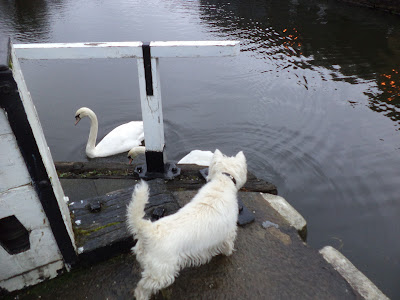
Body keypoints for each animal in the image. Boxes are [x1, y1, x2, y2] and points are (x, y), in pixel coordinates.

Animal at [127, 149, 247, 298]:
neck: (223, 181)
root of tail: (148, 230)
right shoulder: (229, 232)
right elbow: (228, 245)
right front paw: (228, 253)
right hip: (162, 271)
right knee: (142, 288)